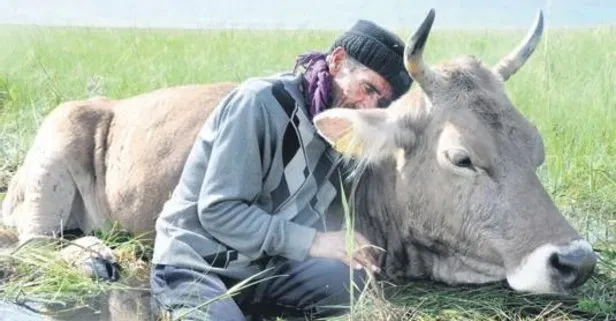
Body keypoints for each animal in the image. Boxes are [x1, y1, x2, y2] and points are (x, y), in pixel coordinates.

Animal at [0, 9, 596, 296]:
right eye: (462, 157)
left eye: (537, 149)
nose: (578, 262)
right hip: (50, 166)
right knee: (32, 244)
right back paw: (94, 255)